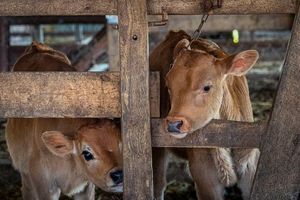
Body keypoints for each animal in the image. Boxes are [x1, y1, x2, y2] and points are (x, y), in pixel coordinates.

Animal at [4, 41, 122, 198]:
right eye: (87, 154)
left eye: (121, 144)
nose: (118, 175)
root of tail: (37, 46)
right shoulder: (45, 185)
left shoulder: (86, 187)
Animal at [150, 30, 260, 199]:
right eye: (168, 86)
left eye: (207, 87)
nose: (173, 124)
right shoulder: (205, 178)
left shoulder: (251, 166)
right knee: (158, 184)